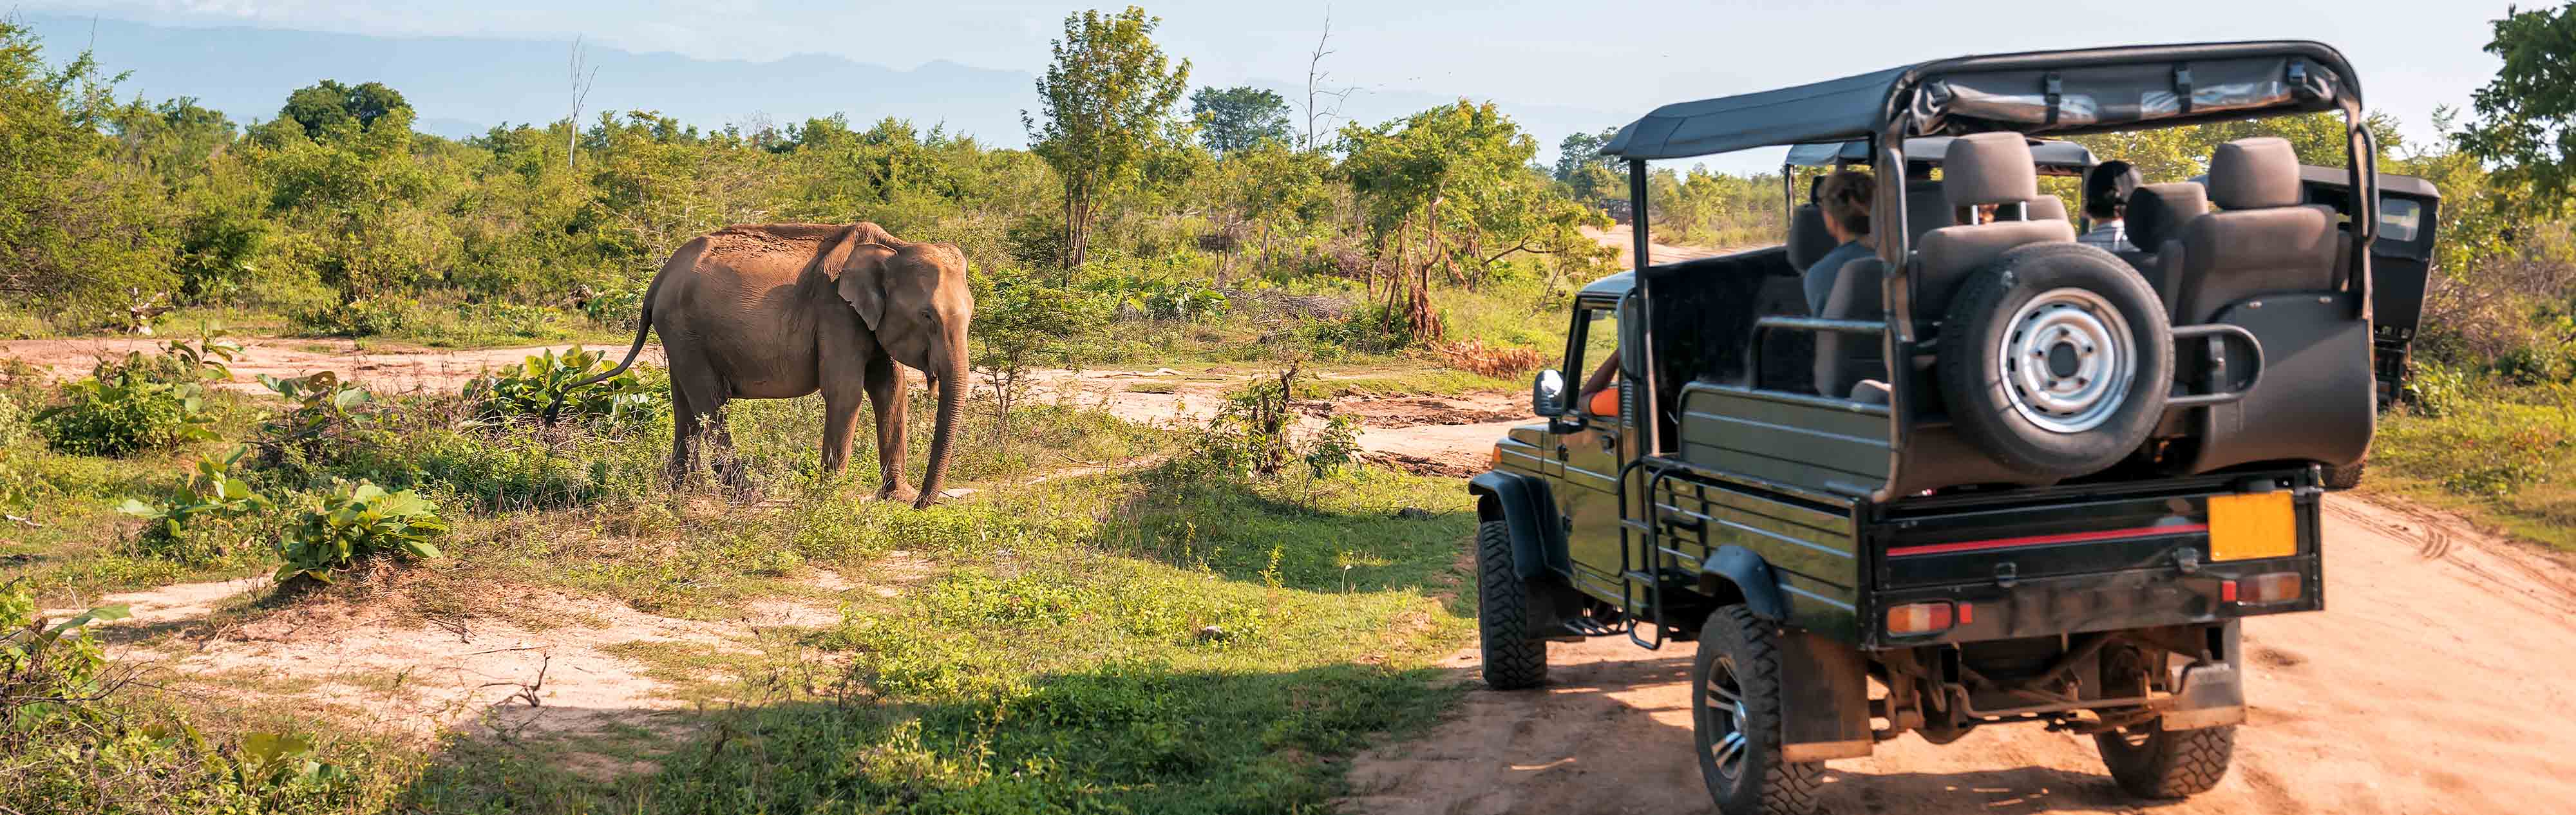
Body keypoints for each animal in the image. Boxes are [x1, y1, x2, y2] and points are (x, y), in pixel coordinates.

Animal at [574, 219, 974, 505]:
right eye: (927, 317)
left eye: (971, 314)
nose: (924, 502)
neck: (893, 247)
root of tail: (659, 279)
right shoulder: (837, 313)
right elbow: (846, 393)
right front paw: (831, 498)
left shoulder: (868, 322)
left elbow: (891, 390)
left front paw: (896, 497)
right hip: (684, 331)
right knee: (710, 402)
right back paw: (745, 495)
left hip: (678, 336)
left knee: (685, 405)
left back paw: (678, 492)